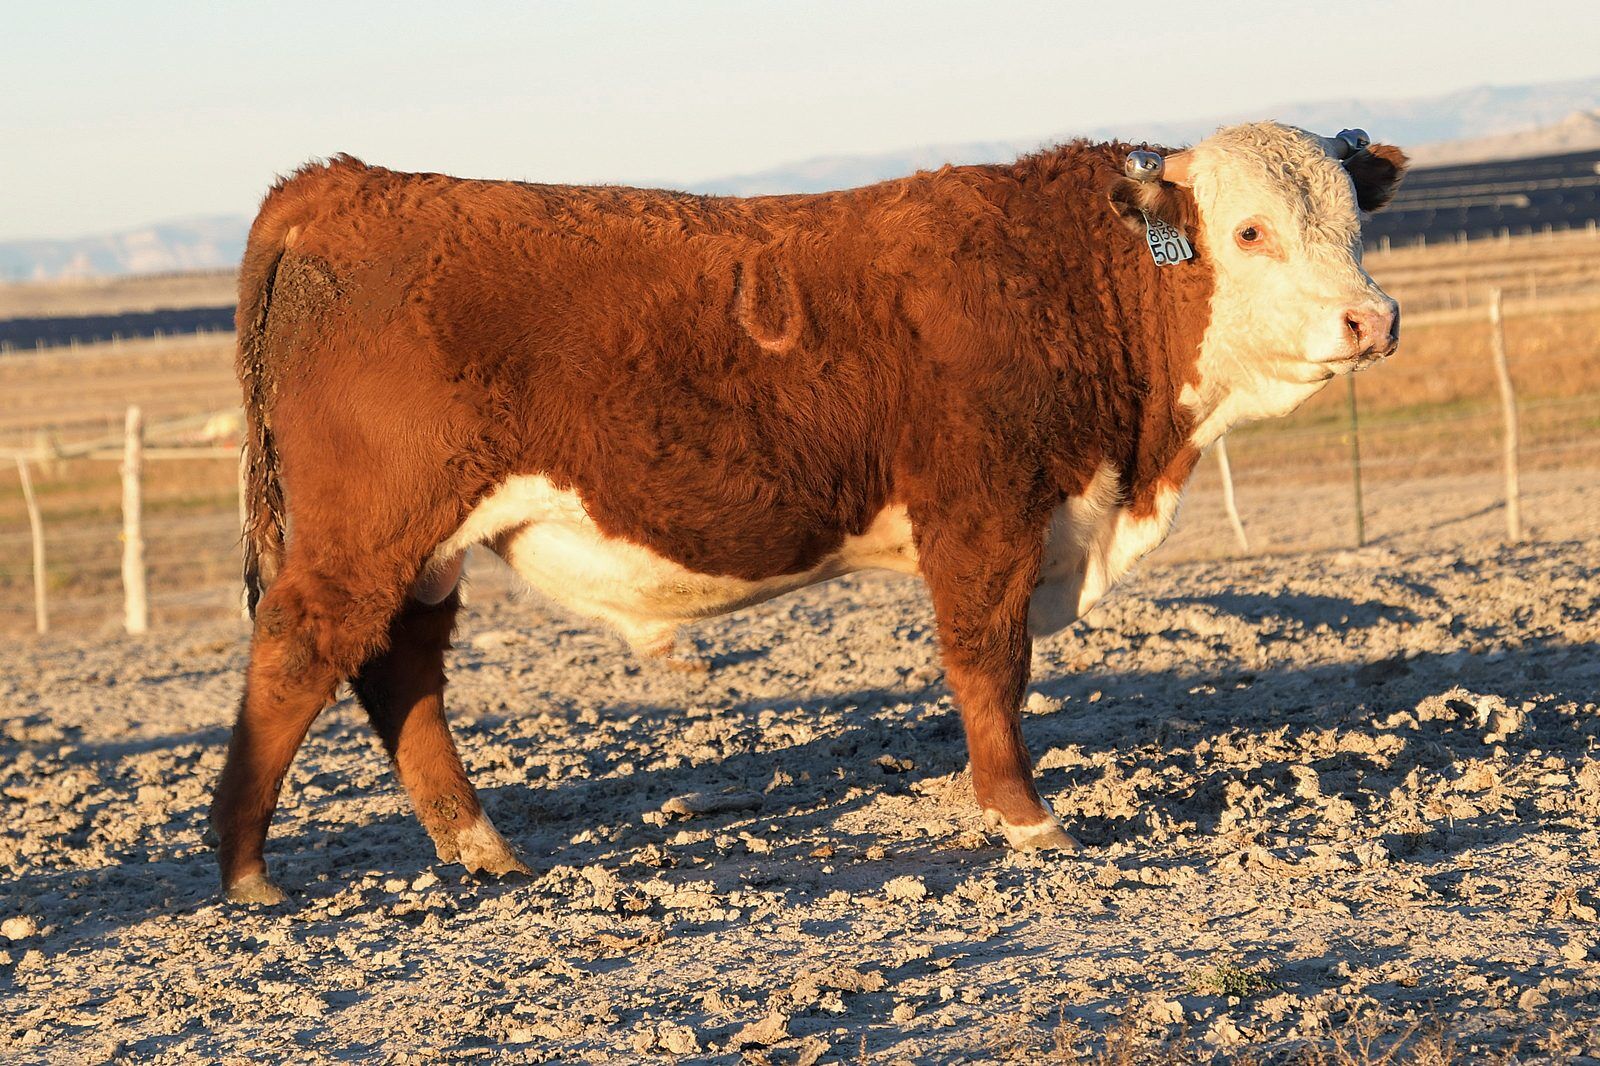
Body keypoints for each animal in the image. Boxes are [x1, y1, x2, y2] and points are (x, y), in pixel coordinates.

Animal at [212, 122, 1406, 903]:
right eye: (1249, 232)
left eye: (1355, 224)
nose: (1373, 319)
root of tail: (344, 185)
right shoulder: (983, 517)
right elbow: (990, 663)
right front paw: (1022, 816)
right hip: (369, 530)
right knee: (299, 652)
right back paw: (246, 870)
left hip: (427, 546)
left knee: (400, 671)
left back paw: (479, 847)